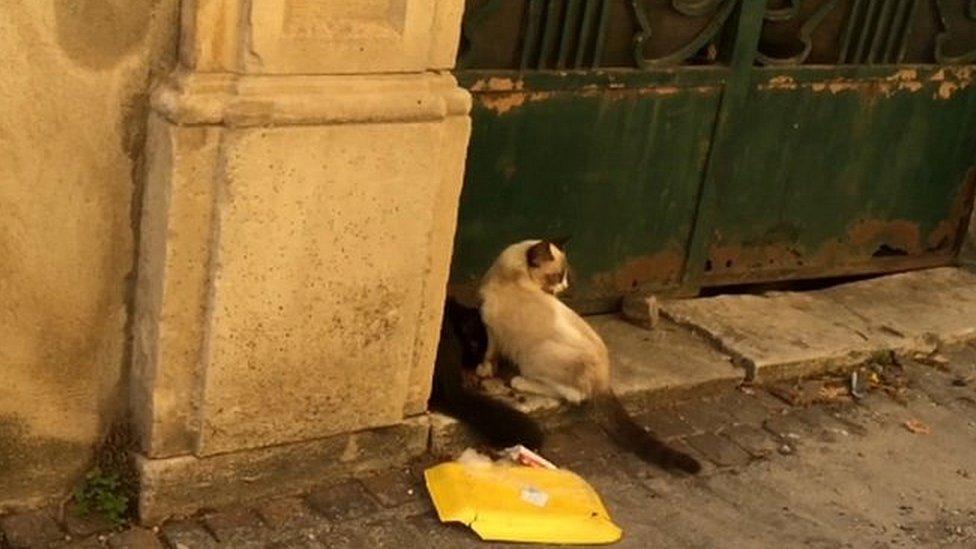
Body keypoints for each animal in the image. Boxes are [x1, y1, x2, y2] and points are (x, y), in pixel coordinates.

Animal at [478, 238, 700, 474]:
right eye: (557, 277)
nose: (564, 287)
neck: (512, 275)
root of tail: (604, 378)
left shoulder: (492, 331)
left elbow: (489, 354)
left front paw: (484, 370)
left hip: (534, 356)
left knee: (573, 395)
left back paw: (518, 380)